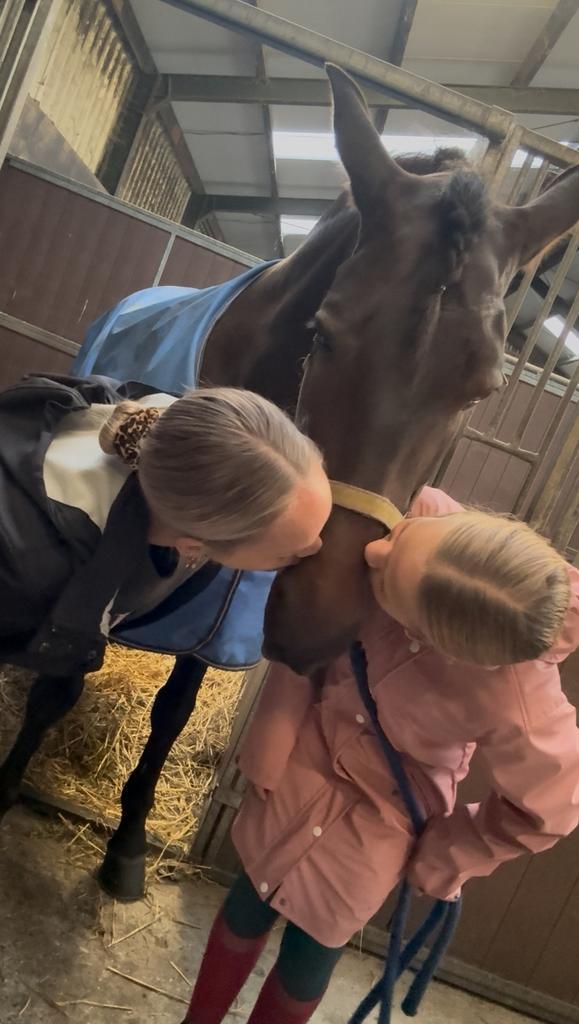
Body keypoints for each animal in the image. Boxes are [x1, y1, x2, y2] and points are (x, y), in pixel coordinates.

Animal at [1, 65, 578, 901]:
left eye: (483, 388)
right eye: (324, 333)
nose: (320, 621)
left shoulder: (216, 618)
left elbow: (173, 712)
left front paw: (130, 844)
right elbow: (62, 681)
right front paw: (9, 785)